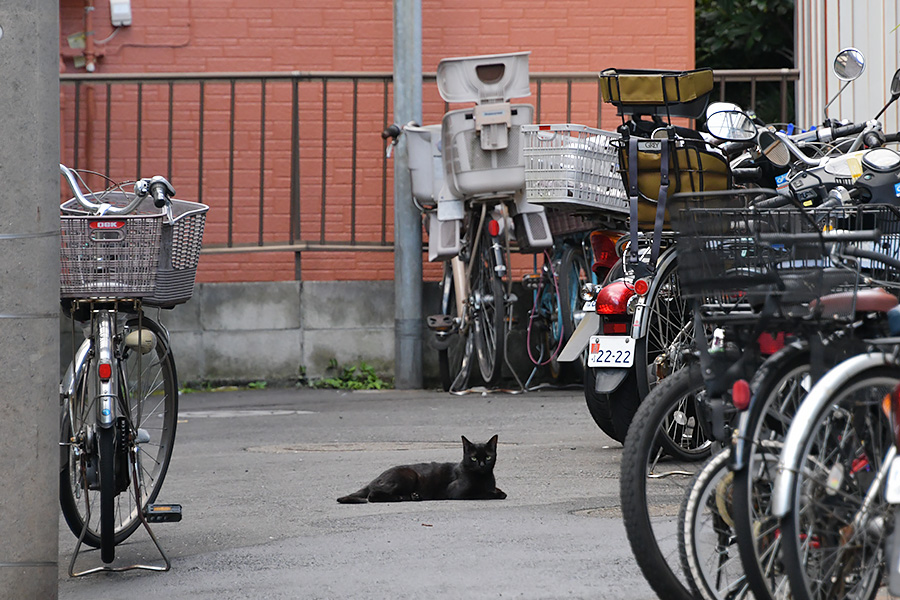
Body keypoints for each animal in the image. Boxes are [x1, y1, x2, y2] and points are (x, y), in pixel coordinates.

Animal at [336, 434, 506, 504]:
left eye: (488, 457)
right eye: (474, 458)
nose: (482, 465)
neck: (484, 478)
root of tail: (375, 479)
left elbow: (499, 491)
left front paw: (498, 491)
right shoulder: (458, 492)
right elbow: (484, 494)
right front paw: (495, 494)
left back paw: (414, 496)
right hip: (408, 475)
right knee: (372, 495)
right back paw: (398, 498)